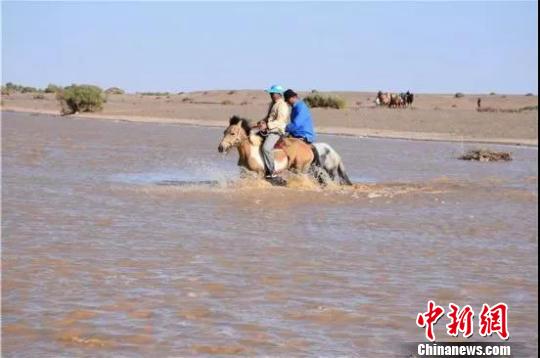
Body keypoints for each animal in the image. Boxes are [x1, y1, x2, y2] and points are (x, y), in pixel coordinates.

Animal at [217, 116, 352, 186]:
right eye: (224, 132)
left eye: (232, 133)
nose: (221, 147)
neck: (250, 151)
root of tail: (309, 147)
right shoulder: (244, 173)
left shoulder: (259, 174)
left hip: (302, 170)